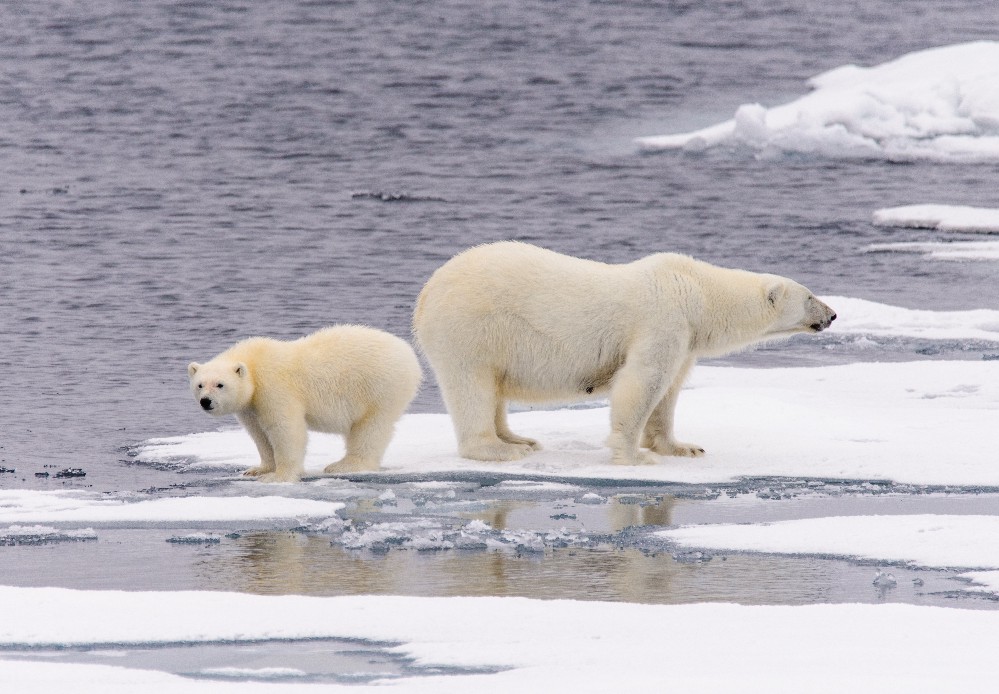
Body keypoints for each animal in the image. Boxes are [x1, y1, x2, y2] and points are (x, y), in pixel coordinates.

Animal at [188, 325, 422, 482]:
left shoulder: (274, 387)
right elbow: (259, 434)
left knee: (370, 428)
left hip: (379, 389)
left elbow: (285, 428)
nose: (206, 402)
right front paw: (258, 469)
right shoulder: (251, 406)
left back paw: (344, 465)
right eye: (200, 385)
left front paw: (279, 476)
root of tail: (410, 356)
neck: (253, 362)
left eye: (220, 384)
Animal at [412, 241, 836, 466]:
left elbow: (670, 391)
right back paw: (498, 449)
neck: (695, 291)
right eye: (810, 296)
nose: (832, 314)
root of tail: (425, 293)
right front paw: (635, 456)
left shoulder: (686, 338)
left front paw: (684, 447)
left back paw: (520, 440)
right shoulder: (662, 319)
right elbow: (643, 380)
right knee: (472, 386)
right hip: (471, 327)